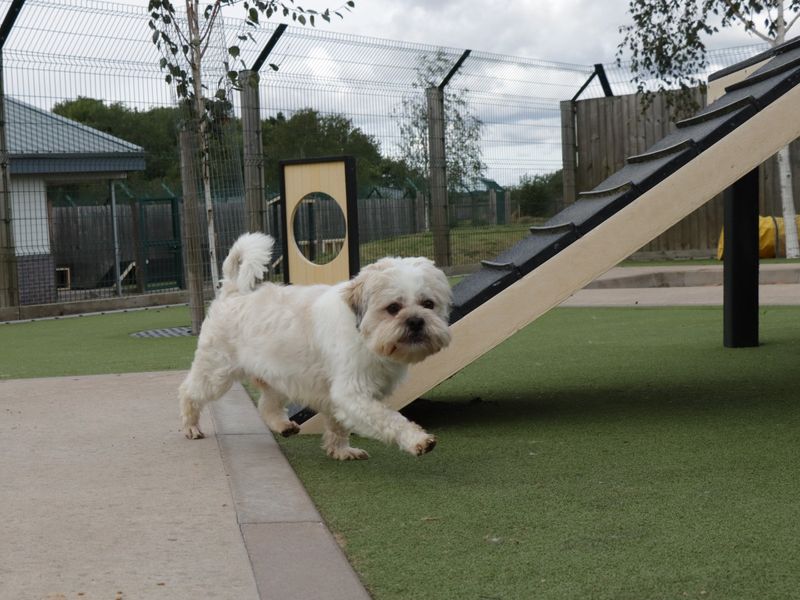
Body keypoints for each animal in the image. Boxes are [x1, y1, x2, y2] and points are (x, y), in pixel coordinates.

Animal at [183, 233, 456, 460]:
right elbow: (389, 419)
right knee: (189, 392)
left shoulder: (336, 397)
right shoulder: (351, 393)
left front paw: (341, 451)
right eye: (393, 308)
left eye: (428, 304)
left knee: (267, 406)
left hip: (278, 378)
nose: (416, 320)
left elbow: (337, 425)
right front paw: (418, 440)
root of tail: (232, 292)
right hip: (215, 373)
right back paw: (191, 427)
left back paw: (284, 426)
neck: (364, 334)